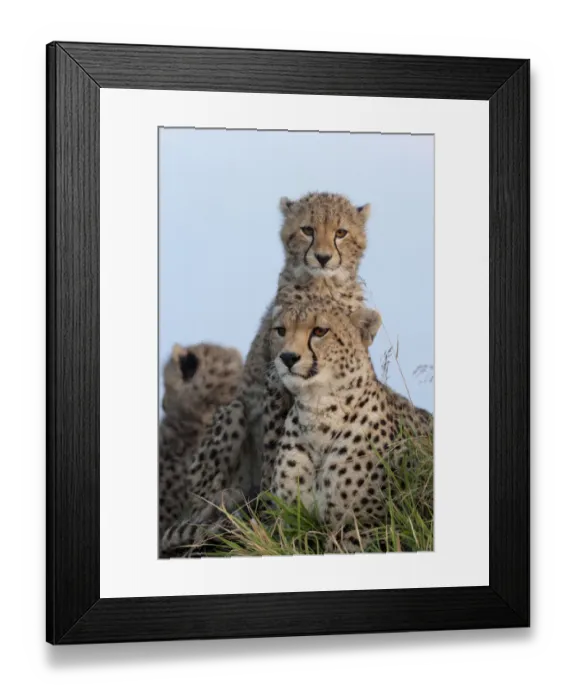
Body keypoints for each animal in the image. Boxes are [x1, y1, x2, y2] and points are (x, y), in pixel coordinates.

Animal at [266, 297, 433, 553]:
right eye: (281, 330)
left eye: (320, 331)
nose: (287, 357)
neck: (318, 412)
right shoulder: (288, 523)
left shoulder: (371, 524)